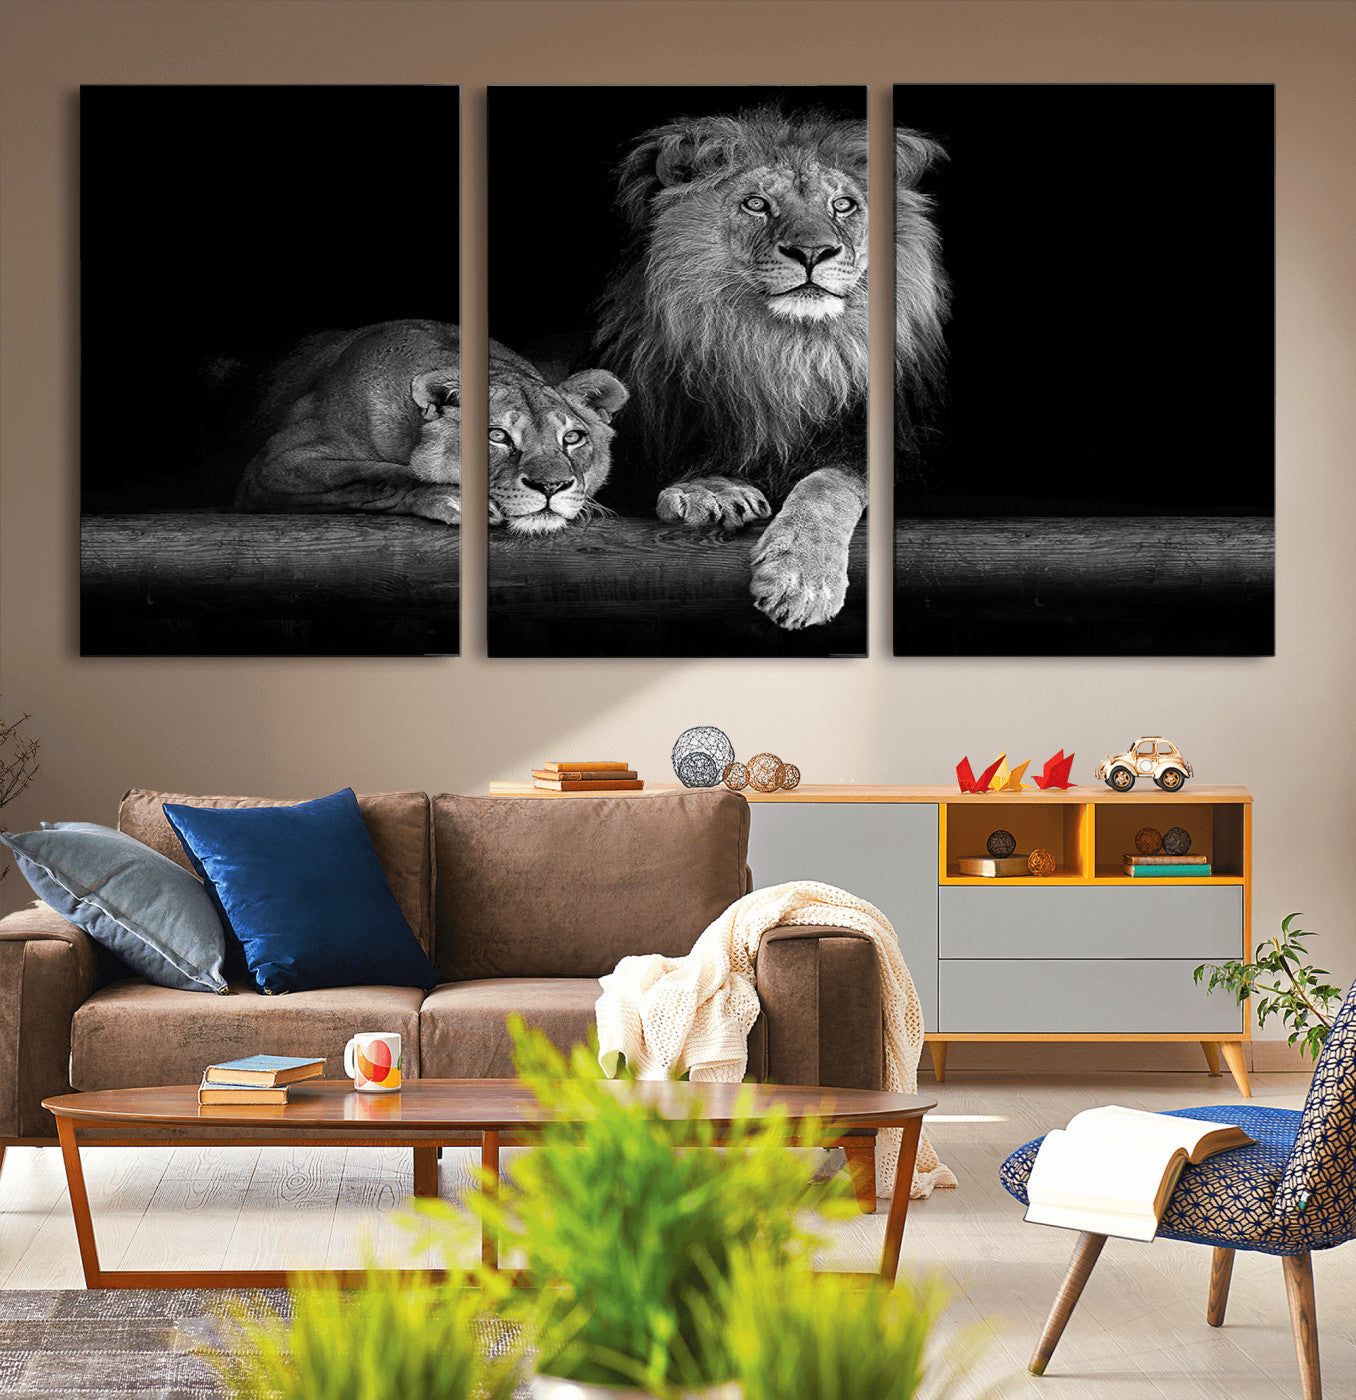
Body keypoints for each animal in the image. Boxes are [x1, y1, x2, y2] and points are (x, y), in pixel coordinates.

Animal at [234, 319, 628, 534]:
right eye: (497, 436)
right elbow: (383, 474)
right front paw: (454, 497)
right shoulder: (276, 463)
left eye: (573, 437)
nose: (551, 486)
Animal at [595, 108, 948, 629]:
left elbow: (828, 484)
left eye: (843, 205)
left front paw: (801, 577)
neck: (783, 351)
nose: (813, 252)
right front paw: (712, 490)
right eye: (757, 204)